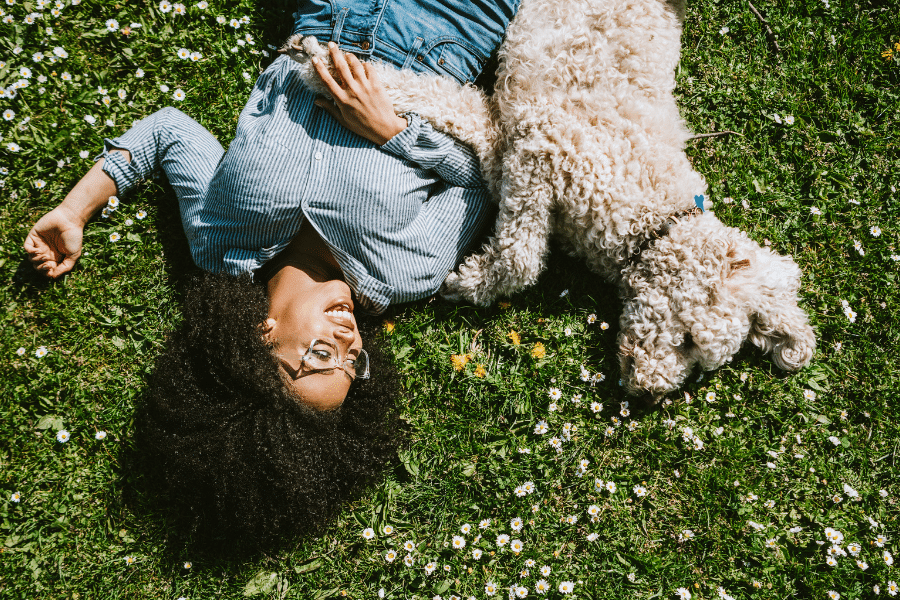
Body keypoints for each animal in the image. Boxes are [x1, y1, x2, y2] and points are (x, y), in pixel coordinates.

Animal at [282, 0, 816, 400]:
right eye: (685, 340)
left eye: (700, 362)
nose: (646, 392)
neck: (651, 214)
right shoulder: (545, 147)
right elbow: (521, 256)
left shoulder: (509, 142)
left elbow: (460, 112)